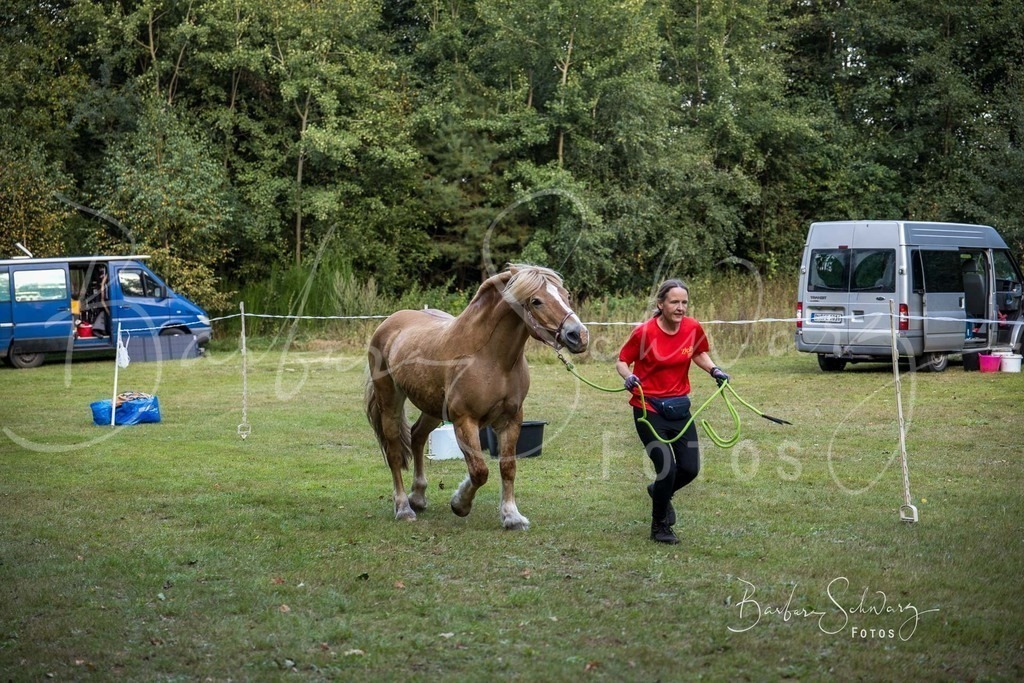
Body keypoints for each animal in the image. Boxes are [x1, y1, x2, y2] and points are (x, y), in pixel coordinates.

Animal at [364, 264, 589, 530]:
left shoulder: (511, 419)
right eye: (536, 301)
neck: (491, 357)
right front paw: (460, 503)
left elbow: (507, 466)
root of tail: (389, 324)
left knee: (417, 436)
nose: (578, 335)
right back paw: (403, 508)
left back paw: (417, 497)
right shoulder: (464, 420)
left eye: (566, 295)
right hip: (390, 401)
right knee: (394, 451)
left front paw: (512, 516)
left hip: (432, 408)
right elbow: (479, 470)